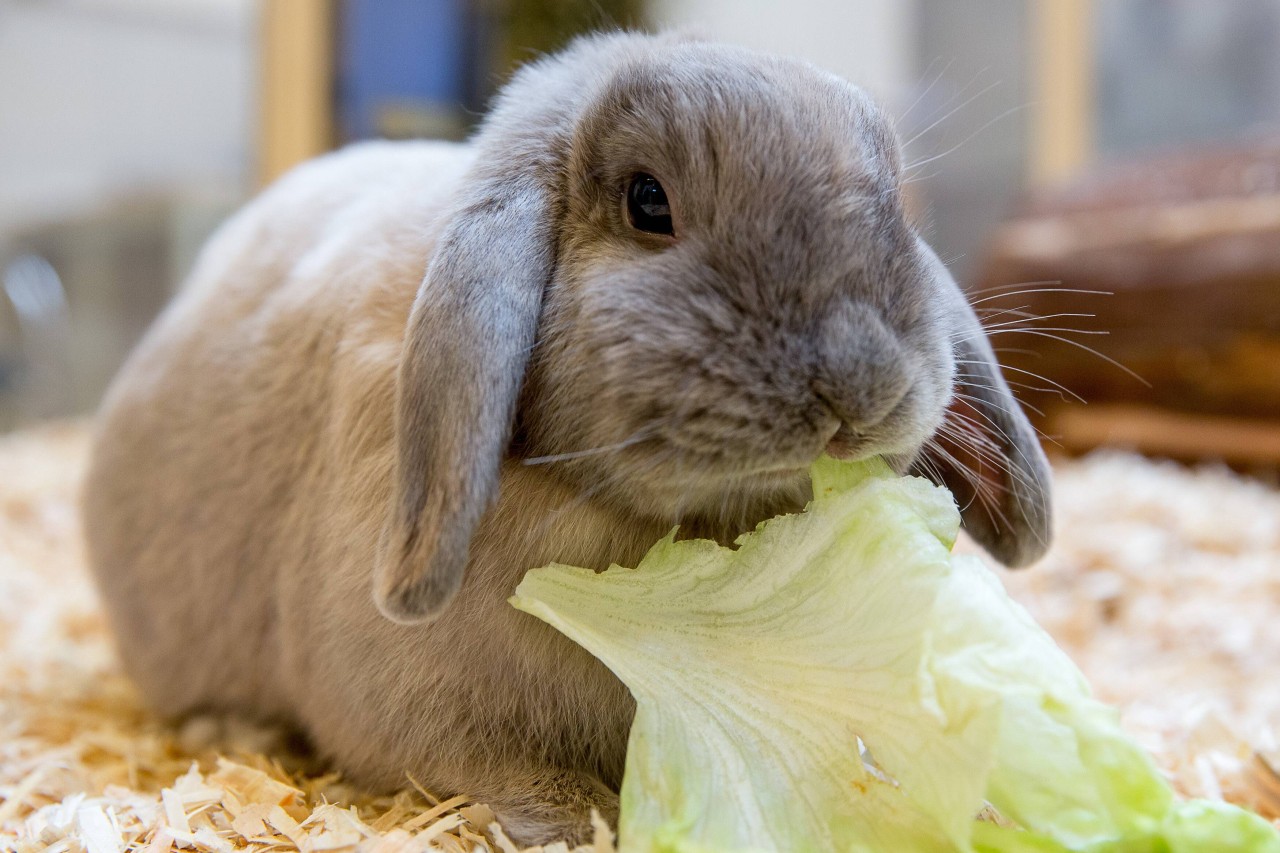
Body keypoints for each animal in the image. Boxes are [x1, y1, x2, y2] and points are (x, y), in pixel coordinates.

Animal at [85, 29, 1054, 840]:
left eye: (896, 207)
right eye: (648, 202)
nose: (861, 387)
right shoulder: (429, 720)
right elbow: (513, 776)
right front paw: (595, 822)